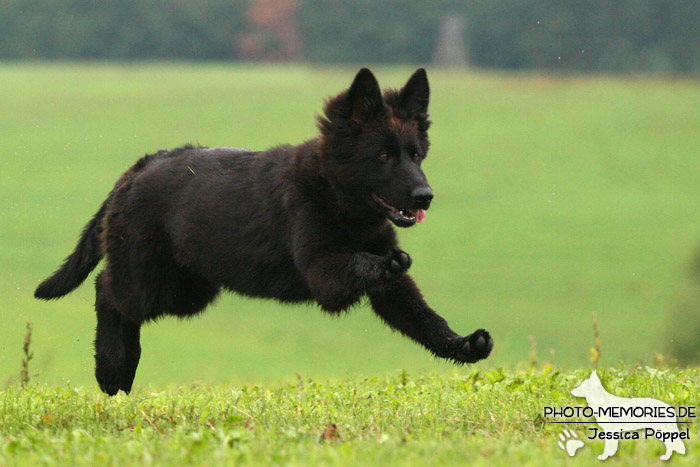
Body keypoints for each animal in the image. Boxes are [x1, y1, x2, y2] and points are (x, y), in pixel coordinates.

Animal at [34, 68, 492, 394]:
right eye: (382, 156)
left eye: (416, 155)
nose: (425, 196)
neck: (336, 194)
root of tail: (143, 165)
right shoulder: (323, 273)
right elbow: (365, 263)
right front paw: (387, 262)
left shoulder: (390, 292)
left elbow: (424, 318)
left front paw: (463, 345)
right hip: (150, 279)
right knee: (106, 291)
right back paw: (112, 369)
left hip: (188, 290)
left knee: (117, 299)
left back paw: (123, 371)